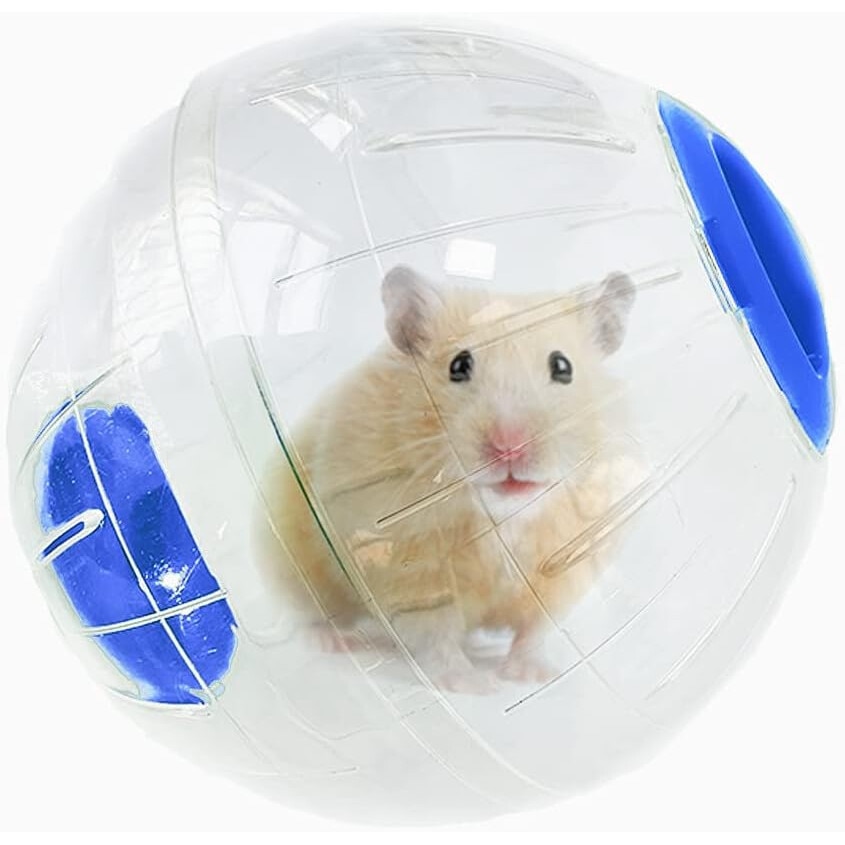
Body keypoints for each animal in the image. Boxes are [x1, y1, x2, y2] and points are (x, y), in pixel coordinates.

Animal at [255, 264, 637, 693]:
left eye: (562, 367)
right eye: (459, 365)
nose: (509, 448)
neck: (501, 517)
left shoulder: (563, 571)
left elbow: (533, 631)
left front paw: (534, 676)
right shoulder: (413, 575)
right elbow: (436, 635)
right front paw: (474, 685)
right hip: (292, 557)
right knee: (311, 610)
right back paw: (334, 641)